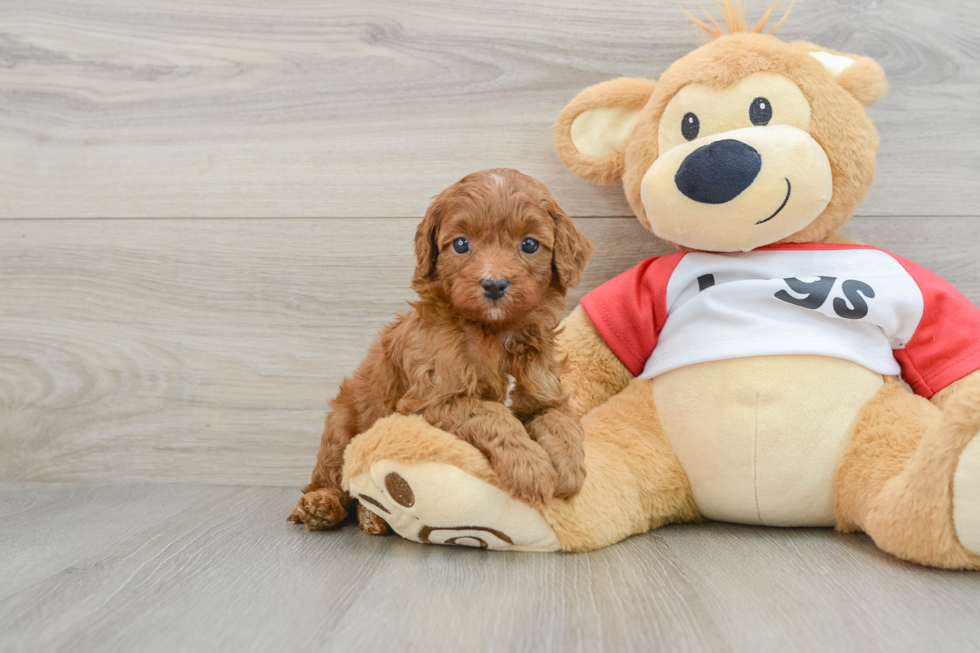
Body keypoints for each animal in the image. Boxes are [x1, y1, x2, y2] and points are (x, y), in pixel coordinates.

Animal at [290, 166, 592, 532]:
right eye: (461, 244)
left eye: (530, 244)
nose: (494, 285)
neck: (493, 332)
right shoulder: (431, 399)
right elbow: (492, 413)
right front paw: (531, 467)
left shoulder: (543, 392)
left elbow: (560, 420)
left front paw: (569, 469)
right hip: (341, 425)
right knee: (332, 477)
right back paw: (323, 506)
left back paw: (371, 516)